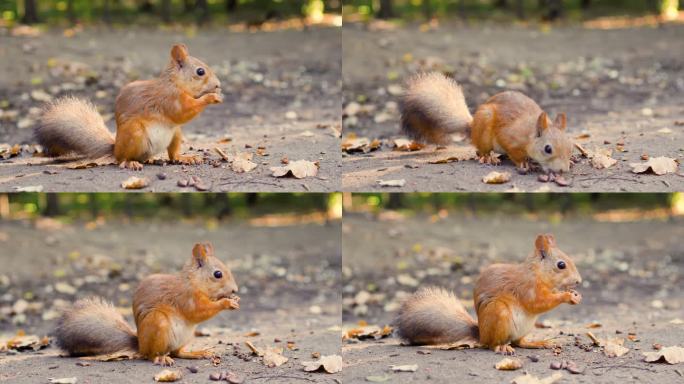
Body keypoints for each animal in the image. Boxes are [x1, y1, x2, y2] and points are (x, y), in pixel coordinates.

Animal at [35, 43, 222, 170]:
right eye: (200, 72)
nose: (218, 85)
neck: (174, 83)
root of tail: (115, 149)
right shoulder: (169, 99)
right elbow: (183, 112)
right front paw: (212, 97)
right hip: (135, 133)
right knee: (122, 159)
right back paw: (130, 162)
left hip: (175, 134)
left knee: (172, 154)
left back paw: (183, 158)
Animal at [52, 243, 238, 366]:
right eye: (218, 274)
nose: (235, 290)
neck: (193, 282)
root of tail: (140, 345)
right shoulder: (186, 298)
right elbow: (199, 311)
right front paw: (227, 302)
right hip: (157, 323)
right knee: (151, 355)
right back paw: (159, 358)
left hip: (186, 336)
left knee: (177, 352)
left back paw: (196, 353)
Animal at [396, 234, 584, 354]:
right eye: (561, 265)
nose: (579, 281)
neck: (537, 272)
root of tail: (482, 335)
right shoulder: (527, 288)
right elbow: (538, 303)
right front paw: (567, 296)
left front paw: (575, 294)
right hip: (498, 313)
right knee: (493, 344)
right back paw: (501, 347)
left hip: (524, 327)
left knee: (519, 342)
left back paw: (538, 343)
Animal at [400, 72, 572, 174]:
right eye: (548, 149)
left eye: (570, 147)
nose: (563, 170)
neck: (529, 134)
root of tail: (472, 127)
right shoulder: (509, 137)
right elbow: (514, 152)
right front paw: (523, 163)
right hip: (485, 127)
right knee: (481, 150)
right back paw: (488, 158)